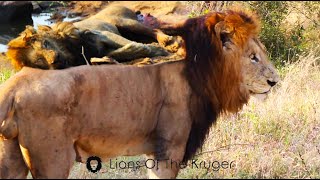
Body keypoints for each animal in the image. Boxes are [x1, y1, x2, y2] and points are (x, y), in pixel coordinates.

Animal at [5, 4, 180, 69]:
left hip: (125, 22)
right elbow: (119, 52)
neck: (70, 51)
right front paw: (136, 50)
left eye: (45, 44)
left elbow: (126, 44)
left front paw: (159, 51)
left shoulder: (103, 34)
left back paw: (167, 41)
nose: (55, 60)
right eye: (39, 61)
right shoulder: (97, 51)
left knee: (153, 30)